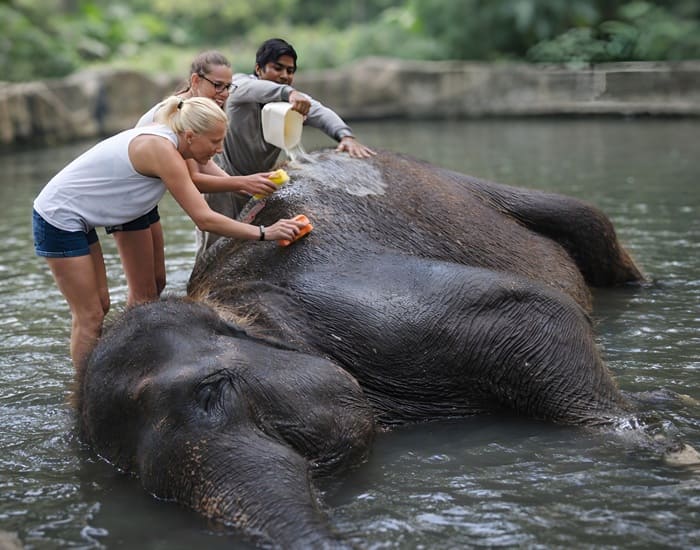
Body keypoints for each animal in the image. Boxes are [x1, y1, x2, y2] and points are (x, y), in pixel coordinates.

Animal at [77, 149, 659, 548]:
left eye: (212, 391)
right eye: (135, 478)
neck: (234, 305)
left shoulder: (371, 310)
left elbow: (535, 309)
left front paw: (660, 441)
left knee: (585, 218)